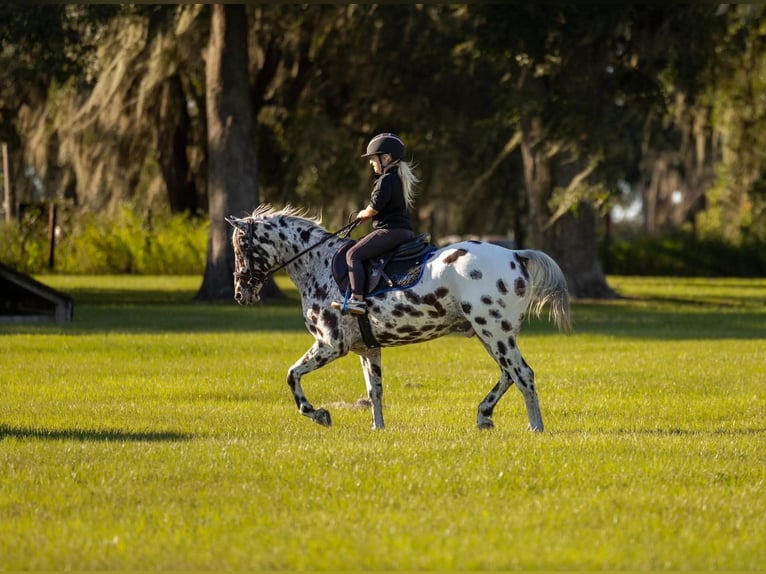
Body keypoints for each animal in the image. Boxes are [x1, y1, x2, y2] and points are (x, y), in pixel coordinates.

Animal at [227, 204, 571, 431]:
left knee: (522, 374)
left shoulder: (331, 344)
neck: (318, 265)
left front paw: (318, 414)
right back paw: (485, 415)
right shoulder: (367, 348)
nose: (241, 293)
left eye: (242, 245)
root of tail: (515, 255)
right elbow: (374, 391)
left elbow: (292, 374)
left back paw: (535, 427)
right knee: (508, 374)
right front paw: (378, 428)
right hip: (490, 334)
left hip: (495, 332)